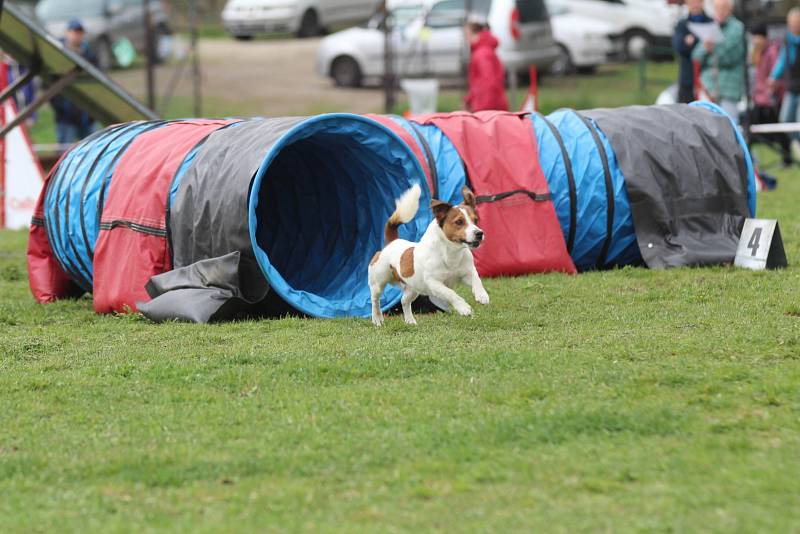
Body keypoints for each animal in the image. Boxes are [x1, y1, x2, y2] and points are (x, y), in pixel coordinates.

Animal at [368, 183, 488, 326]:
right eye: (459, 222)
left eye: (476, 220)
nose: (479, 233)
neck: (451, 252)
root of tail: (392, 242)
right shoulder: (434, 283)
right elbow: (450, 293)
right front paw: (463, 308)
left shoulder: (466, 272)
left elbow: (477, 279)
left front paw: (482, 295)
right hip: (378, 282)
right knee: (375, 300)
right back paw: (377, 319)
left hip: (413, 288)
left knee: (404, 301)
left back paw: (410, 321)